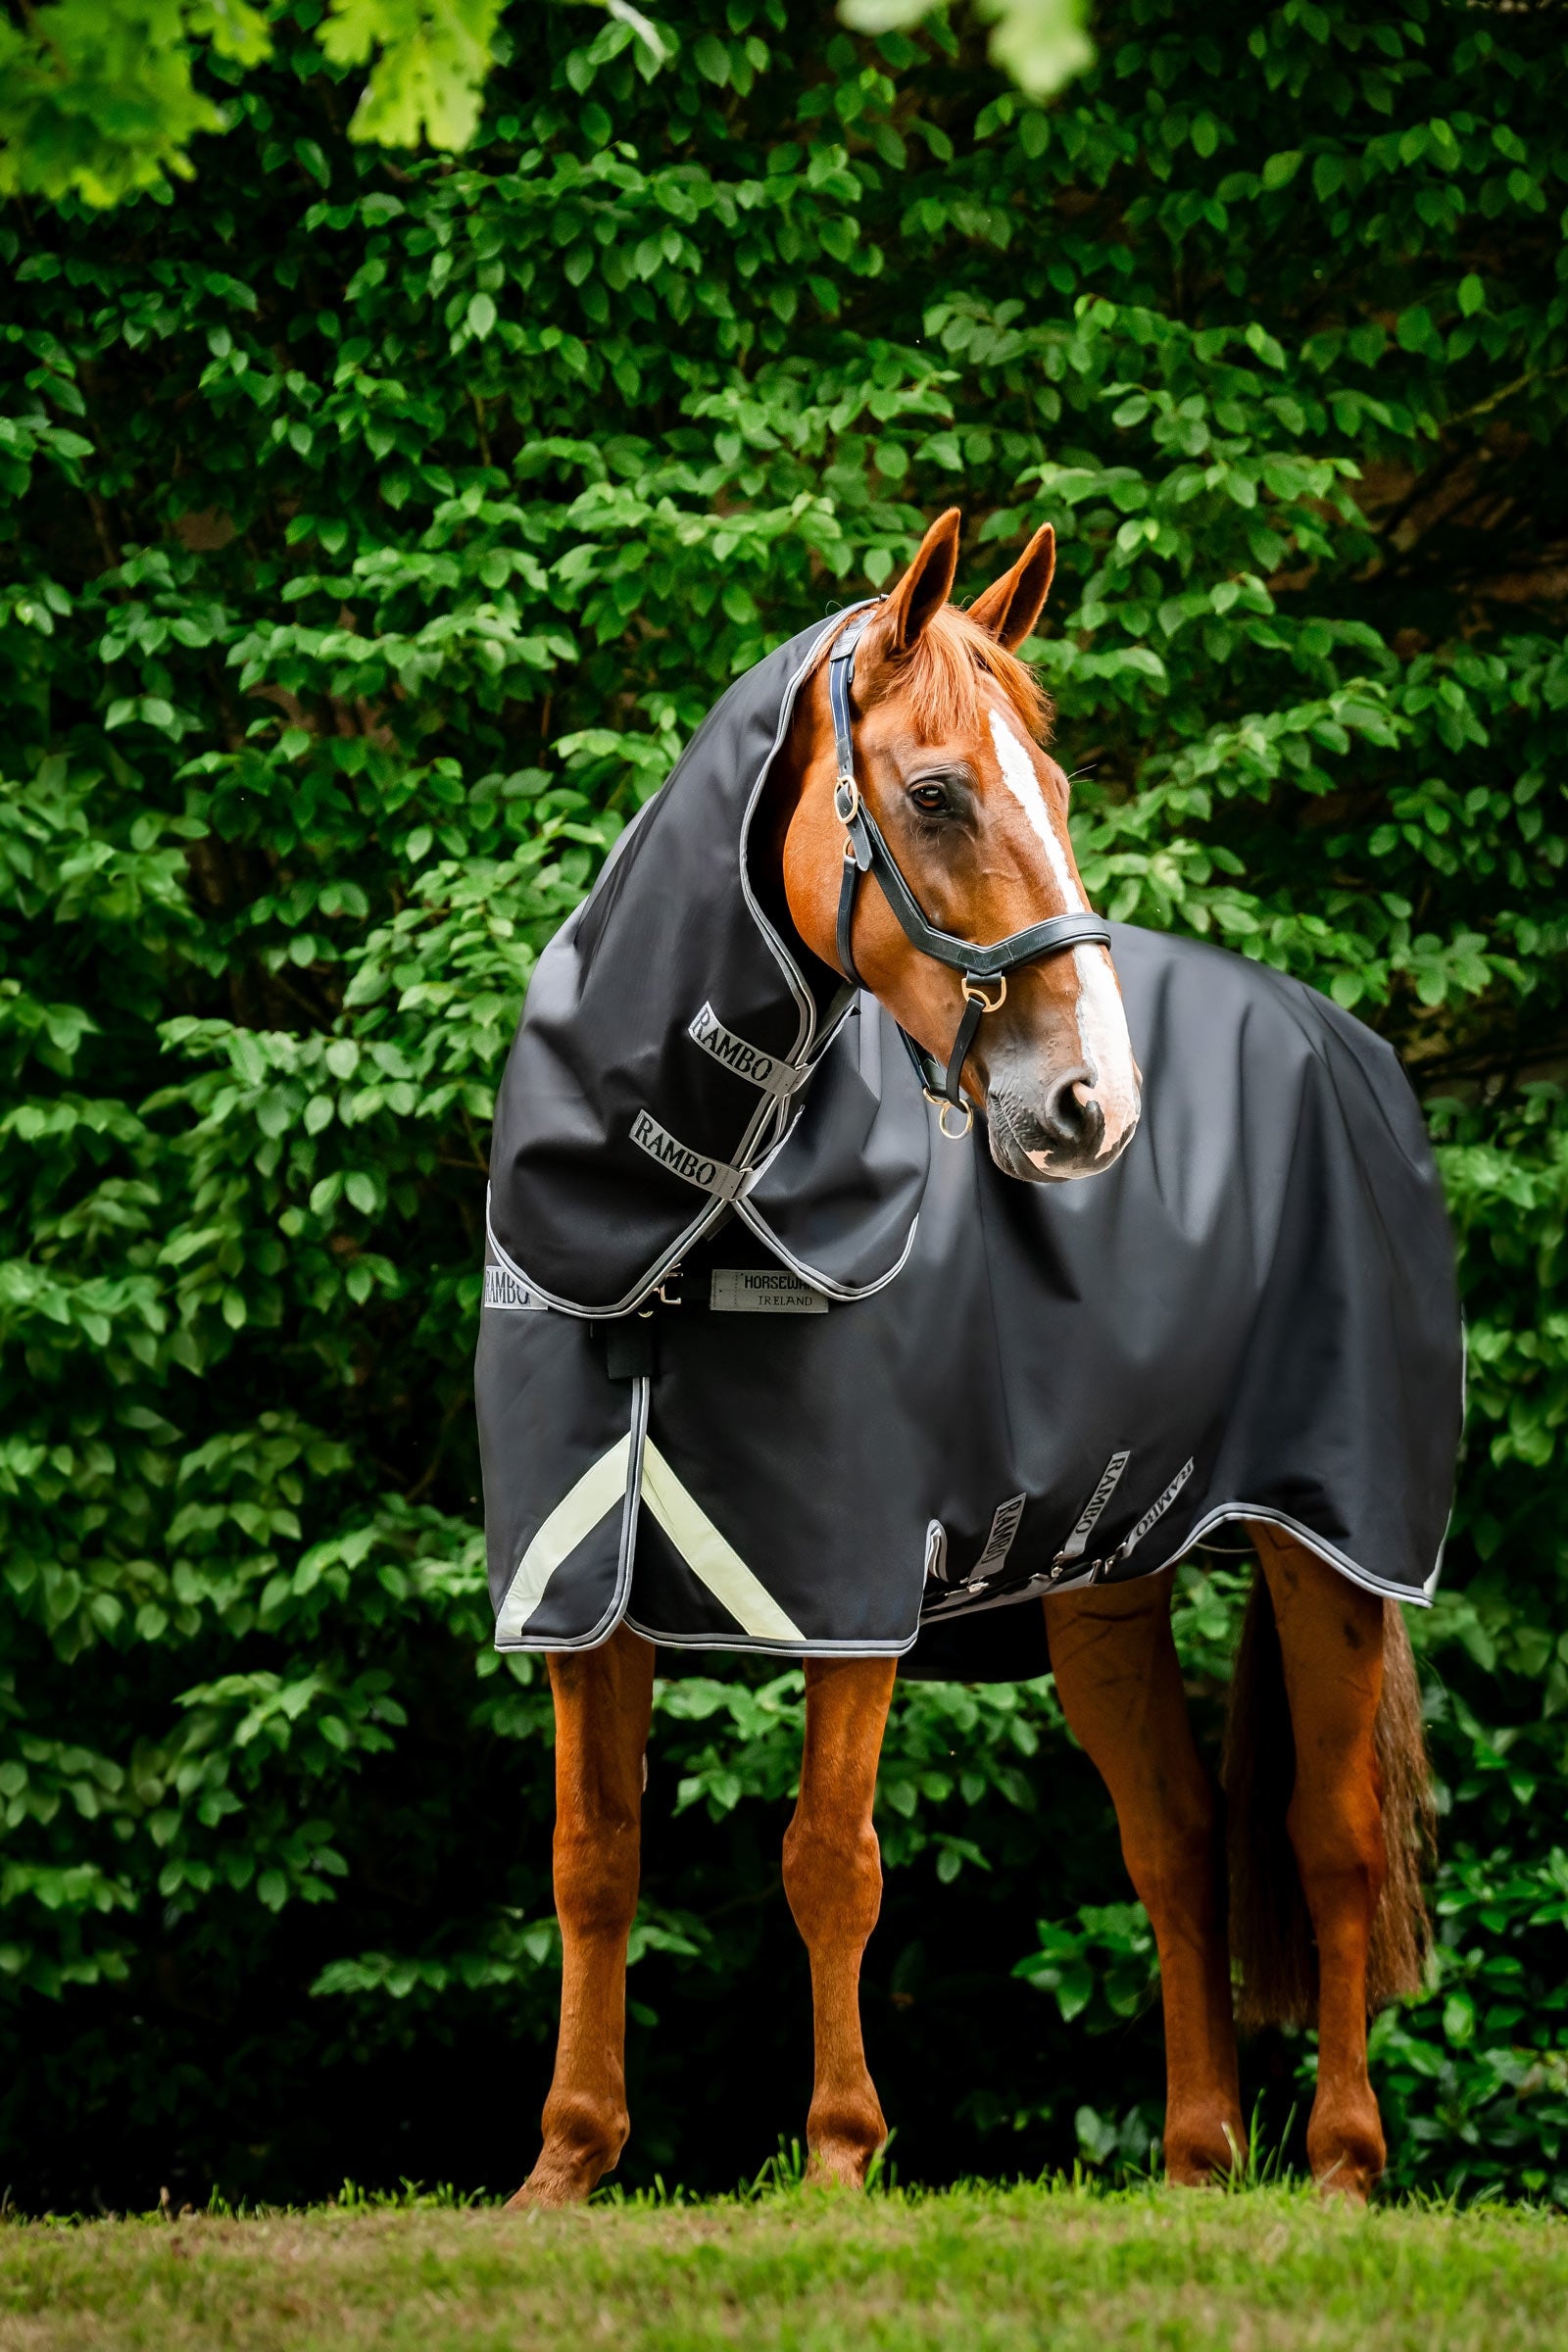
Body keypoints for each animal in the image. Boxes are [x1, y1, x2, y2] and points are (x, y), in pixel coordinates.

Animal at [490, 509, 1446, 2210]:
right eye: (936, 792)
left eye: (1055, 792)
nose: (1093, 1105)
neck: (678, 1211)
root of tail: (1346, 1048)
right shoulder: (576, 1593)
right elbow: (592, 1861)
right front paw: (566, 2167)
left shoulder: (851, 1582)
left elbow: (829, 1859)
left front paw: (838, 2159)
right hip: (1109, 1573)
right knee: (1178, 1837)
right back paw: (1196, 2163)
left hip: (1329, 1548)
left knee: (1328, 1836)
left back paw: (1340, 2167)